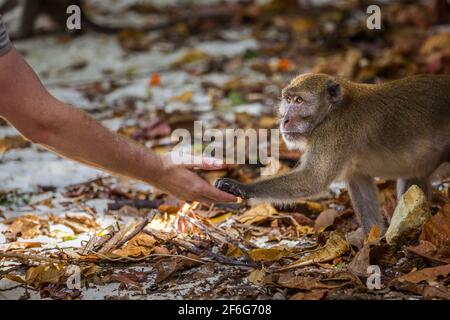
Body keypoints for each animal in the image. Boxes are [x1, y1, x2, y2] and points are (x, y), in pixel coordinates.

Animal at [215, 73, 450, 235]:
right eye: (288, 100)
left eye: (299, 101)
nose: (284, 120)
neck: (332, 112)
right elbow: (359, 183)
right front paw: (375, 241)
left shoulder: (333, 133)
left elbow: (312, 180)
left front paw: (239, 187)